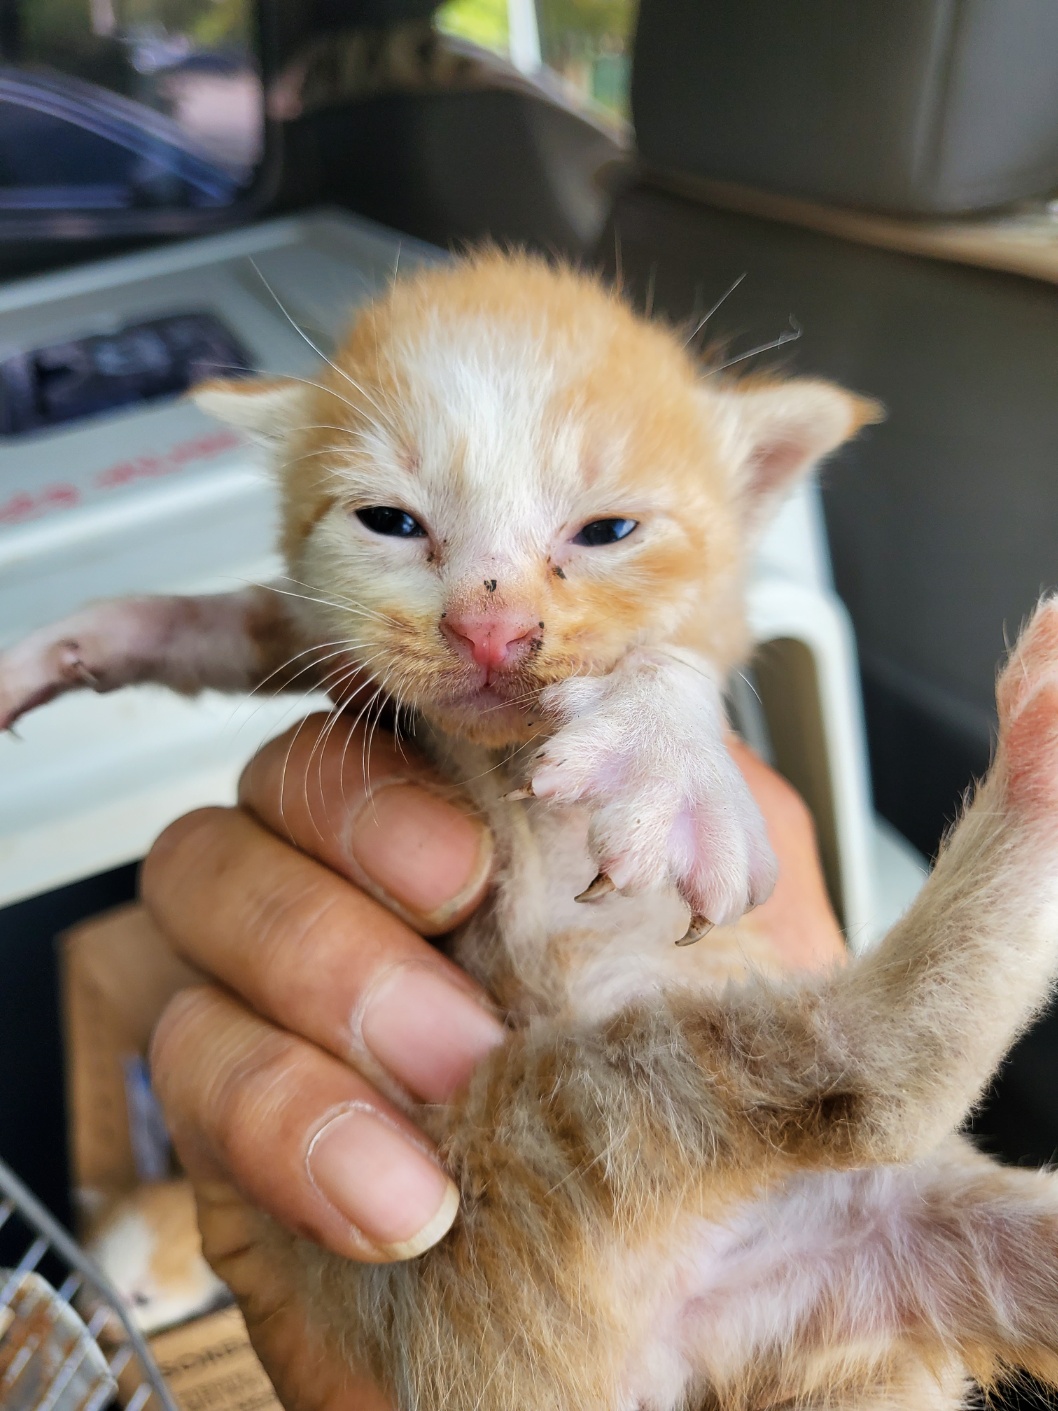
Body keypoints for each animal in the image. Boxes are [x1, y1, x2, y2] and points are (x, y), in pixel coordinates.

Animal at [6, 256, 1058, 1411]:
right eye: (389, 520)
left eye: (606, 532)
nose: (489, 627)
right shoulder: (319, 642)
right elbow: (225, 625)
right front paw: (82, 640)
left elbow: (670, 654)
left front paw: (663, 742)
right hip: (579, 1134)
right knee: (868, 1084)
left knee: (872, 1079)